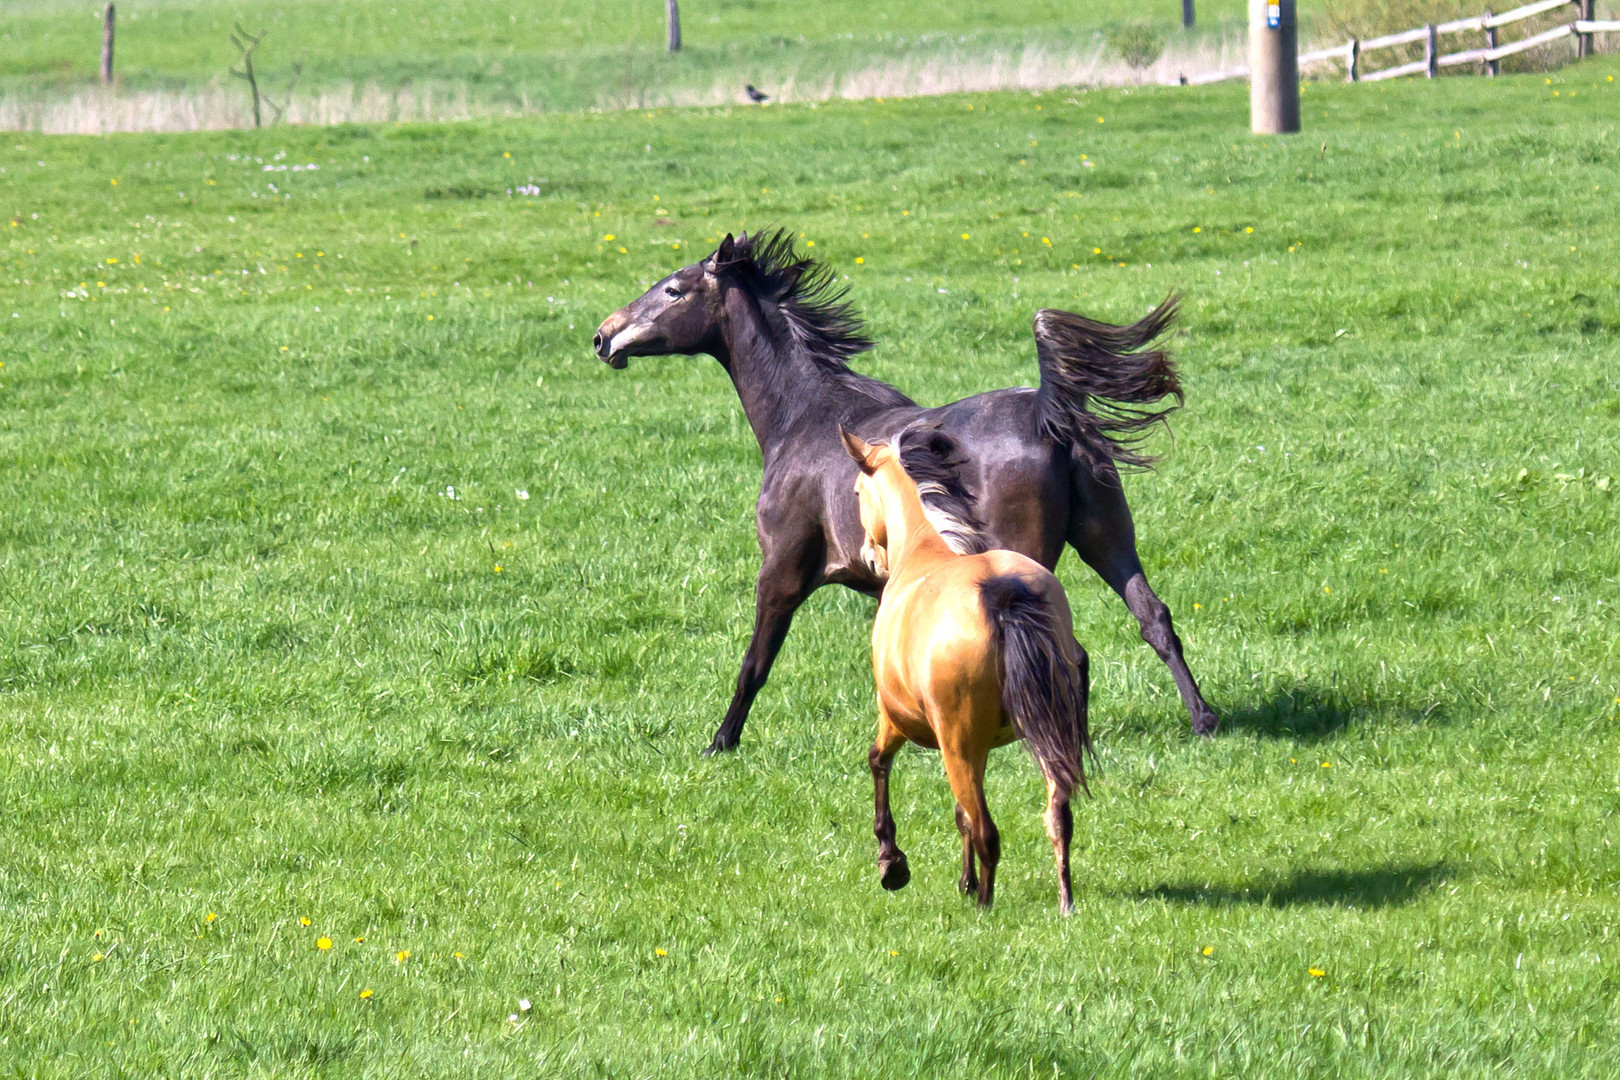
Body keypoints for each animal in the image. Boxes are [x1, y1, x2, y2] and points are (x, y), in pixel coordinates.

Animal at [596, 229, 1218, 751]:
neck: (804, 415)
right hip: (1107, 539)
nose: (604, 337)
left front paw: (720, 742)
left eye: (673, 289)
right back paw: (1201, 720)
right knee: (1154, 619)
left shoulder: (782, 570)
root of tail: (1049, 412)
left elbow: (756, 662)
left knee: (1069, 650)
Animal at [842, 424, 1095, 913]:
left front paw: (892, 863)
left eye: (858, 491)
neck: (925, 552)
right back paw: (1065, 901)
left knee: (986, 832)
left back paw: (984, 906)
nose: (869, 556)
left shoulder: (896, 718)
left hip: (958, 744)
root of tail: (1002, 592)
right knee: (1058, 816)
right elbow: (960, 814)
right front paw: (962, 879)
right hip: (1043, 735)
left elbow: (878, 762)